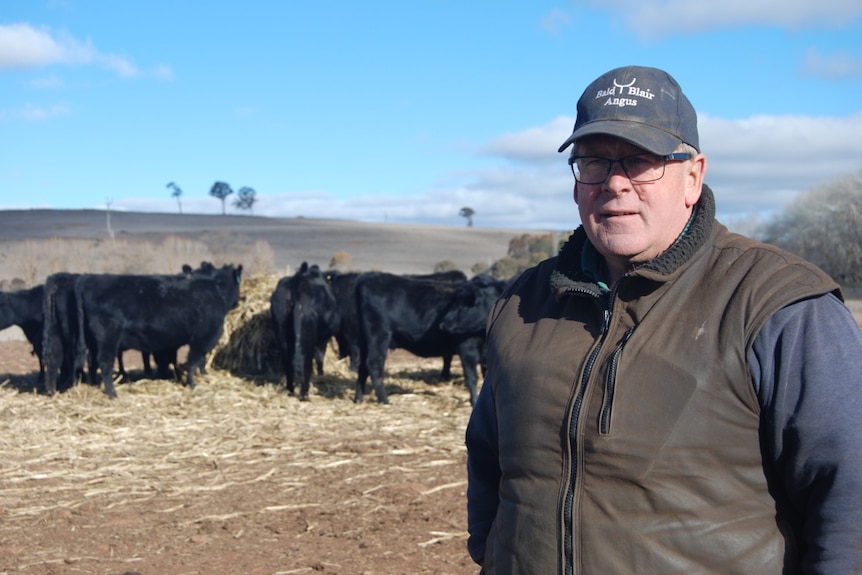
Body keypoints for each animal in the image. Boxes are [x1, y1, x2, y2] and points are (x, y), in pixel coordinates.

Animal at [74, 264, 241, 396]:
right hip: (108, 337)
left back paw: (94, 384)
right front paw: (193, 384)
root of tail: (89, 280)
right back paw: (112, 393)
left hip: (93, 341)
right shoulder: (203, 338)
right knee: (105, 362)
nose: (237, 303)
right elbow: (194, 361)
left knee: (92, 362)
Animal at [270, 262, 340, 400]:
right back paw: (304, 395)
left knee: (288, 361)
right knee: (305, 360)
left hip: (282, 331)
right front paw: (320, 374)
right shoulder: (322, 340)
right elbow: (319, 357)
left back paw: (290, 390)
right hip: (307, 335)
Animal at [352, 272, 500, 402]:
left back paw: (358, 398)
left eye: (464, 305)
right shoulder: (467, 348)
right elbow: (471, 377)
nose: (443, 324)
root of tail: (367, 276)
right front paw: (474, 401)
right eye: (455, 304)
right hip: (378, 336)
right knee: (374, 364)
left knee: (363, 368)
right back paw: (384, 399)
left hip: (364, 340)